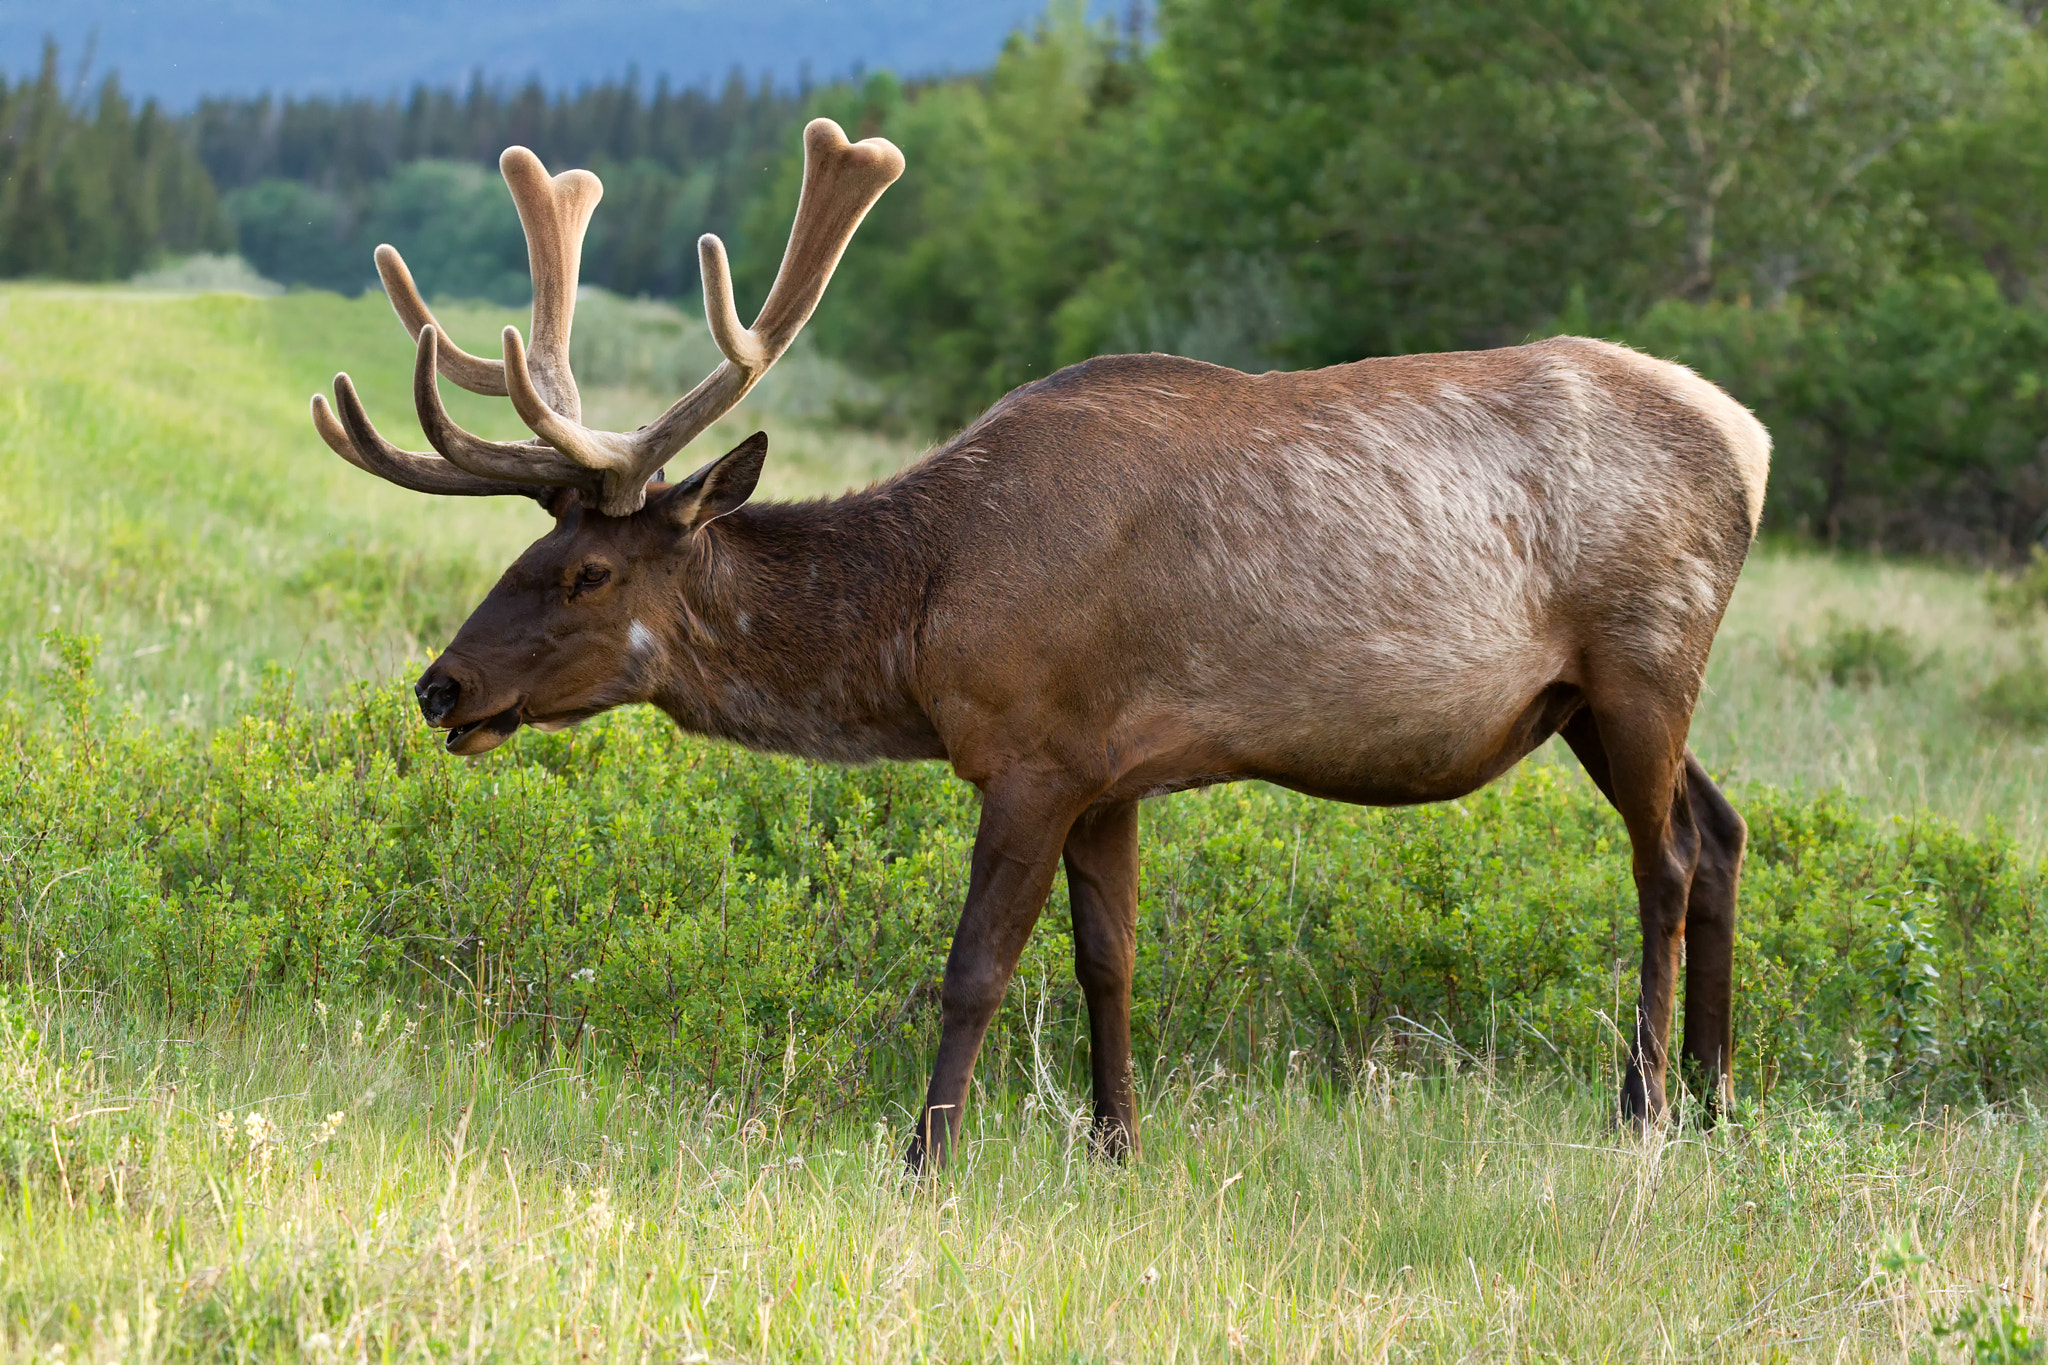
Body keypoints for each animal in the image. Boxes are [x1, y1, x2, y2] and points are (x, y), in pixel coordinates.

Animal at [311, 117, 1769, 1169]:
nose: (443, 686)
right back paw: (1712, 1102)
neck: (920, 623)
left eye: (585, 569)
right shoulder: (1112, 769)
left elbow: (975, 969)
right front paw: (1119, 1145)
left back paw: (1641, 1107)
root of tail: (1750, 438)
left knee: (1664, 856)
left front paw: (925, 1155)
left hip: (1640, 656)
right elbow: (1106, 961)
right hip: (1589, 698)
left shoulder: (1033, 750)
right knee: (1724, 828)